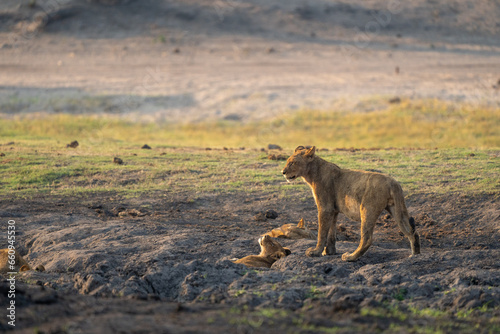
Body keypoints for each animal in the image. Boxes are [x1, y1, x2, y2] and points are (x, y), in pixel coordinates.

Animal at [284, 146, 420, 260]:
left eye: (292, 163)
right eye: (287, 161)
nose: (283, 172)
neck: (312, 172)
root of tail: (393, 183)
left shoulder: (325, 208)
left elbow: (322, 232)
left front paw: (315, 252)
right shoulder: (333, 210)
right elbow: (331, 232)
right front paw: (329, 252)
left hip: (367, 208)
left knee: (367, 238)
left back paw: (350, 257)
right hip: (396, 209)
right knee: (411, 231)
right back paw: (415, 256)